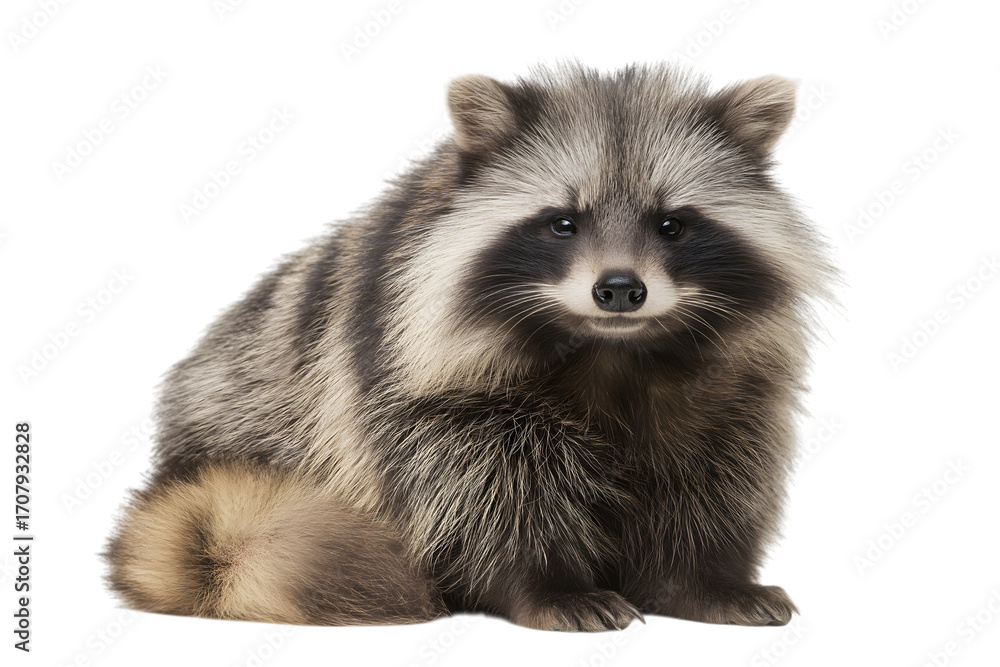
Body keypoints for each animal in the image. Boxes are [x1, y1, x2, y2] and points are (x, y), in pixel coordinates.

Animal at [106, 63, 834, 631]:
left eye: (672, 224)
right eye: (563, 223)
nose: (620, 290)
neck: (611, 351)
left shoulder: (734, 388)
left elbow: (714, 474)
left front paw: (702, 577)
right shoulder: (422, 383)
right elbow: (483, 486)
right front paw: (546, 582)